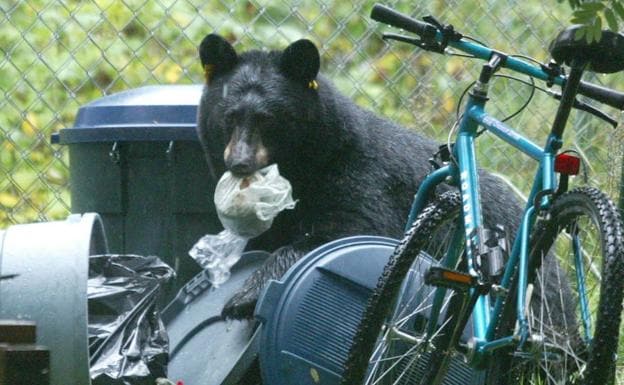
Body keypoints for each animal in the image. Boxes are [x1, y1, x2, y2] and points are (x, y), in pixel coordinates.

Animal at [194, 35, 520, 318]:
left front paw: (244, 296)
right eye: (229, 117)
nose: (240, 162)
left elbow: (352, 230)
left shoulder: (362, 178)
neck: (305, 168)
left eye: (268, 120)